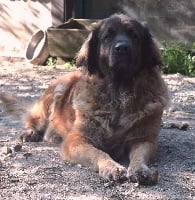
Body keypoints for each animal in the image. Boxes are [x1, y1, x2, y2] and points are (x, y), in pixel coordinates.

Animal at [0, 14, 168, 185]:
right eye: (108, 36)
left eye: (134, 35)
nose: (122, 48)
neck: (118, 93)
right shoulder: (76, 140)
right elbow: (98, 153)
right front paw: (111, 167)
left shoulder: (144, 139)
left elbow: (139, 156)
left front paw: (140, 169)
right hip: (56, 91)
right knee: (33, 119)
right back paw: (30, 131)